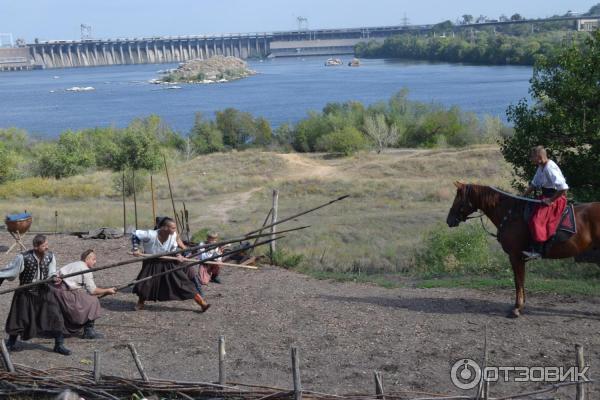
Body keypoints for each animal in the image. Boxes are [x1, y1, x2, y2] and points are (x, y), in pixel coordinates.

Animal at [446, 183, 600, 318]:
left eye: (458, 198)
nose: (449, 220)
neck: (510, 214)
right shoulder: (520, 257)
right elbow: (521, 279)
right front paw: (521, 305)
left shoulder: (515, 256)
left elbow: (518, 281)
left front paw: (517, 308)